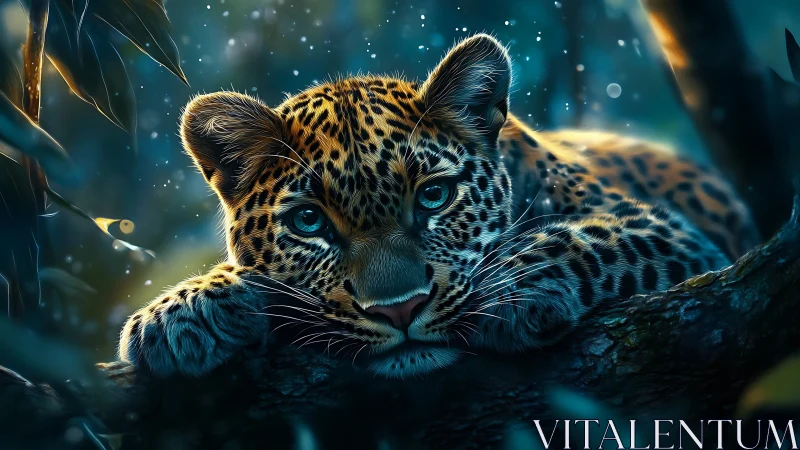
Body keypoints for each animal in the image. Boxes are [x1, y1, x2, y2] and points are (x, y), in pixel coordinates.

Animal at [118, 34, 760, 378]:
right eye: (309, 221)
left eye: (434, 195)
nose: (400, 310)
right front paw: (181, 313)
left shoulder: (665, 228)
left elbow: (580, 235)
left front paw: (512, 289)